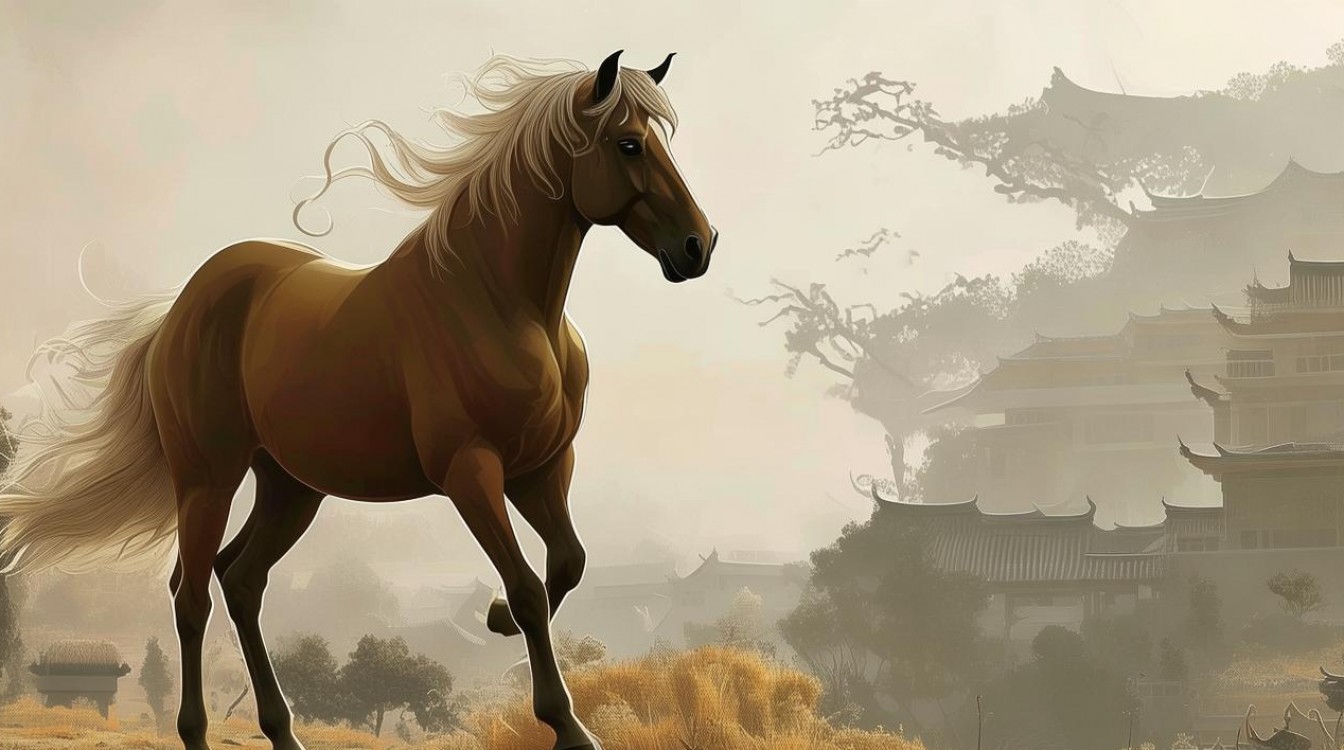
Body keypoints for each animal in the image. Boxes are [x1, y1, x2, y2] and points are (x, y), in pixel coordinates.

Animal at [0, 50, 716, 750]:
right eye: (628, 143)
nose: (698, 246)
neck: (497, 302)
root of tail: (179, 311)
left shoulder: (541, 468)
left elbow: (566, 564)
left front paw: (496, 624)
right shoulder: (470, 471)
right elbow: (528, 585)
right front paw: (568, 725)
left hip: (291, 486)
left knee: (241, 580)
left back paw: (283, 732)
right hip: (208, 477)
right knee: (191, 594)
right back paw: (197, 732)